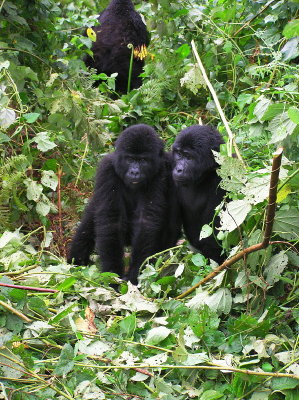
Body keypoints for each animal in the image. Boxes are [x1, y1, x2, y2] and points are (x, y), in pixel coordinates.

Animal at [68, 125, 180, 284]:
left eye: (143, 160)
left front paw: (135, 273)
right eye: (130, 159)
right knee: (88, 224)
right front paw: (112, 275)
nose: (134, 172)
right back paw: (76, 264)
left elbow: (146, 220)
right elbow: (111, 220)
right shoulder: (107, 169)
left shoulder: (162, 171)